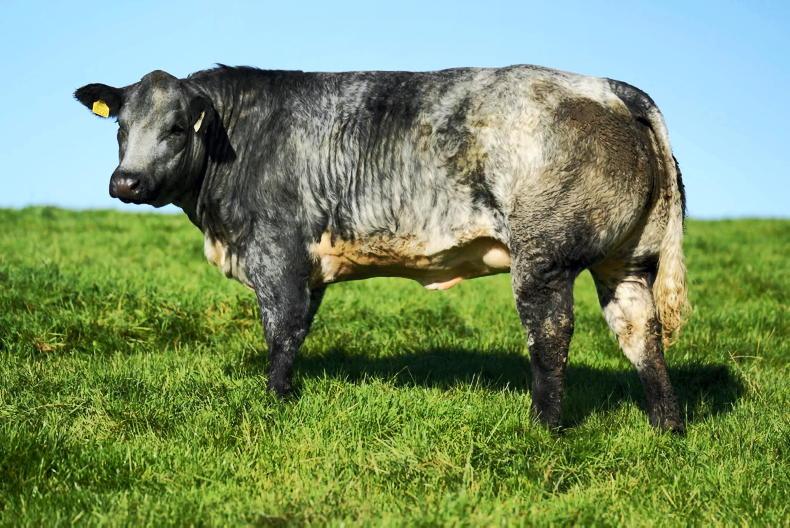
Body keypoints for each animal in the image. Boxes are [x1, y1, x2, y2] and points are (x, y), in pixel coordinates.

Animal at [74, 64, 689, 432]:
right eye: (120, 127)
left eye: (178, 127)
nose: (126, 181)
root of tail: (607, 87)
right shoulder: (308, 266)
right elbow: (298, 329)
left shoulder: (277, 252)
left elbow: (282, 331)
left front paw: (277, 399)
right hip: (627, 260)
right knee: (641, 332)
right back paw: (666, 426)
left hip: (544, 258)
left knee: (551, 334)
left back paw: (545, 424)